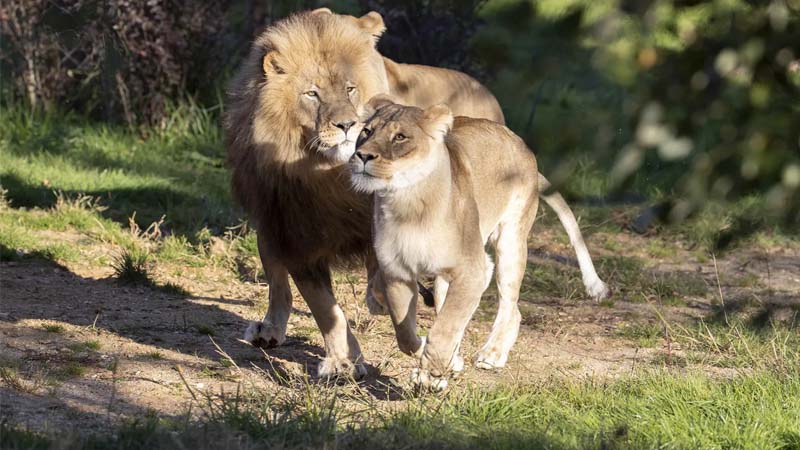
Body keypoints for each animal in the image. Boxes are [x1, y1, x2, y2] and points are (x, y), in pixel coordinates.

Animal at [349, 96, 564, 390]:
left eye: (400, 137)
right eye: (366, 132)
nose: (363, 155)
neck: (408, 203)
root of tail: (520, 142)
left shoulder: (472, 270)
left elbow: (446, 327)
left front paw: (433, 371)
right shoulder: (396, 272)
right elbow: (405, 333)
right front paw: (432, 358)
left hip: (510, 243)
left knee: (511, 305)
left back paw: (492, 354)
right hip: (445, 278)